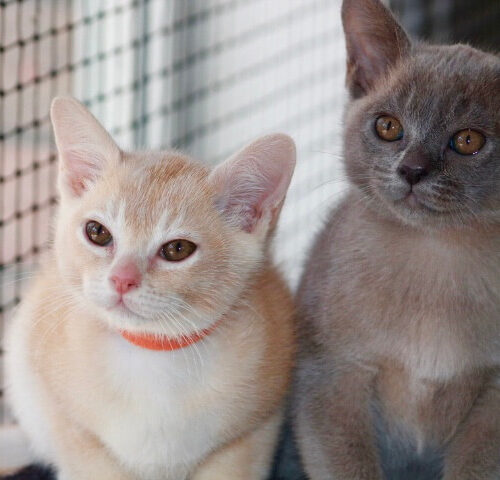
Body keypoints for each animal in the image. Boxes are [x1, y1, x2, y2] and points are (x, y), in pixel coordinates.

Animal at [5, 96, 294, 480]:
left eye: (177, 249)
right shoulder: (66, 419)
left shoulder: (254, 429)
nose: (122, 279)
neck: (152, 354)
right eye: (97, 232)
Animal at [292, 0, 500, 480]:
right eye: (388, 127)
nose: (411, 170)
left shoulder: (494, 405)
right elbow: (350, 467)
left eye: (468, 140)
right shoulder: (334, 378)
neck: (437, 262)